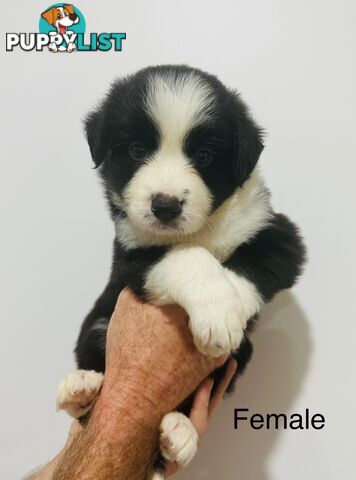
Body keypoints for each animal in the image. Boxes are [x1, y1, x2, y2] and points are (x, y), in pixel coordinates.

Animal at [56, 65, 306, 478]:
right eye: (136, 150)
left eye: (204, 156)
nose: (165, 205)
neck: (199, 231)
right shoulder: (134, 254)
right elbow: (187, 258)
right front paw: (218, 312)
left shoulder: (279, 234)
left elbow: (249, 266)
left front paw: (224, 315)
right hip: (98, 325)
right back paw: (81, 388)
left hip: (242, 356)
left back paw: (179, 432)